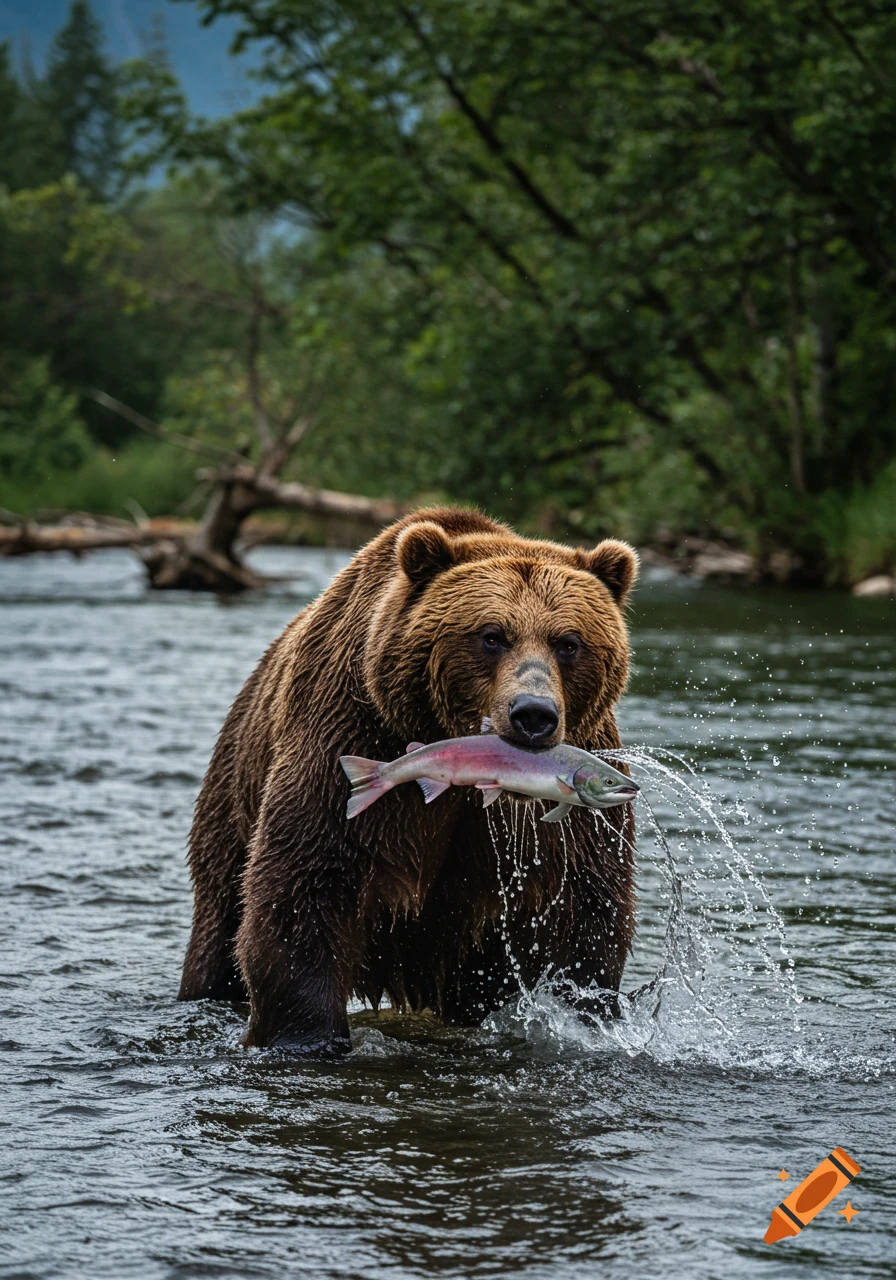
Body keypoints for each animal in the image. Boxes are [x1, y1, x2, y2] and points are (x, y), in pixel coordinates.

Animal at [178, 506, 639, 1054]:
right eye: (491, 635)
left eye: (569, 642)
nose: (533, 715)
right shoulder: (348, 731)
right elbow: (306, 885)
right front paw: (307, 1036)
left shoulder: (565, 814)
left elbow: (578, 912)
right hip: (233, 800)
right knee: (219, 924)